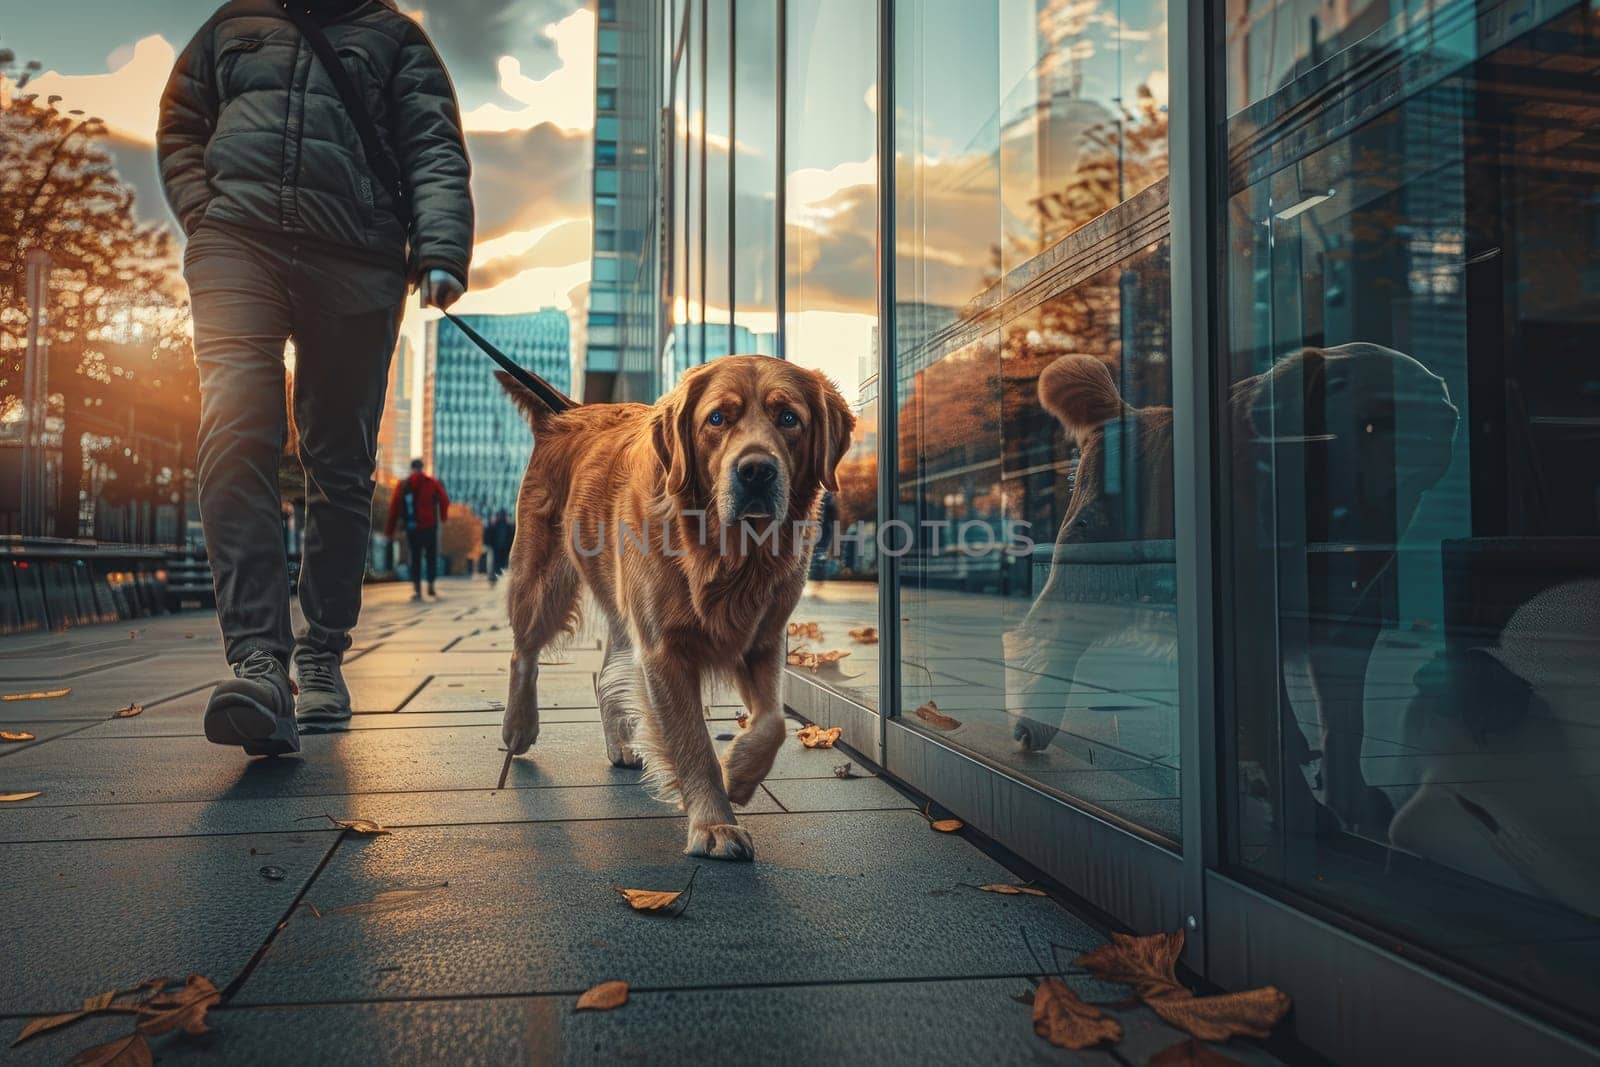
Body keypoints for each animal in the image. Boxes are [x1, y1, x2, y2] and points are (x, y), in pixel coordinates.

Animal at [496, 356, 851, 857]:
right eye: (717, 419)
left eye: (789, 418)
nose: (756, 471)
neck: (727, 555)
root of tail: (567, 413)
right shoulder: (664, 650)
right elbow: (692, 743)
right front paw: (714, 824)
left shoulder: (762, 640)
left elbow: (774, 723)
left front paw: (739, 774)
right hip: (542, 582)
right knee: (523, 654)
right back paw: (519, 727)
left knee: (607, 675)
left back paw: (623, 745)